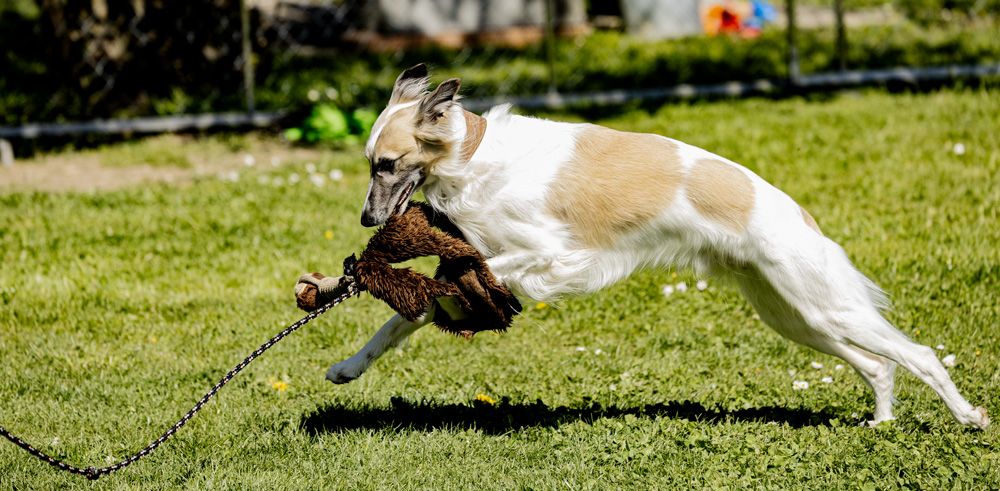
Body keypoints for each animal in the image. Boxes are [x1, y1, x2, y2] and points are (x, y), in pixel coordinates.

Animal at [325, 63, 988, 429]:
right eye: (369, 163)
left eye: (387, 164)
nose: (366, 220)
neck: (474, 158)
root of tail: (796, 211)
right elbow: (403, 318)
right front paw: (348, 366)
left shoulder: (554, 255)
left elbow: (456, 279)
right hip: (796, 316)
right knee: (879, 364)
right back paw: (881, 420)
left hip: (825, 306)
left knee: (922, 355)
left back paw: (968, 418)